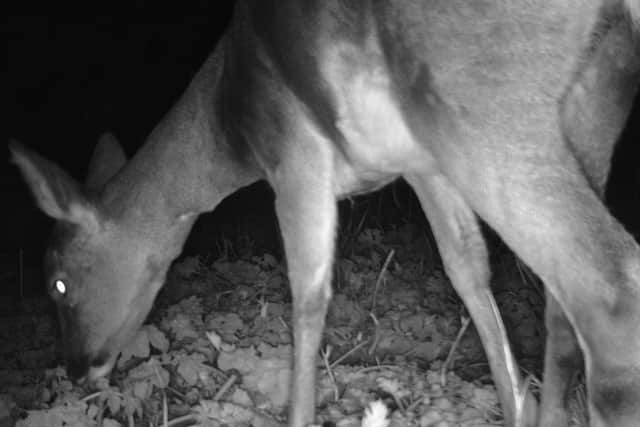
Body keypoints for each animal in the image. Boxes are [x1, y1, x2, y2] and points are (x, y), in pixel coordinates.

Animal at [9, 1, 640, 426]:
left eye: (57, 281)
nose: (77, 369)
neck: (228, 117)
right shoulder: (422, 163)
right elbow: (467, 269)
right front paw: (518, 407)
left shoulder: (294, 152)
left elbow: (308, 294)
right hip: (588, 104)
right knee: (564, 305)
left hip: (483, 108)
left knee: (608, 292)